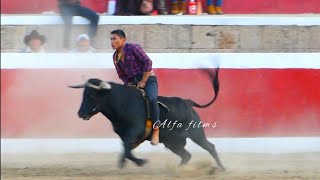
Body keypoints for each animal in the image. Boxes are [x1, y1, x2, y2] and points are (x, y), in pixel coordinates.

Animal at [70, 69, 225, 170]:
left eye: (92, 95)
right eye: (83, 94)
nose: (80, 113)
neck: (121, 102)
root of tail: (188, 102)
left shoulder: (135, 132)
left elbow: (127, 150)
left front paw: (141, 162)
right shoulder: (125, 135)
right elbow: (125, 150)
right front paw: (123, 164)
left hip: (196, 133)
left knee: (210, 147)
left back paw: (222, 168)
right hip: (172, 142)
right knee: (186, 155)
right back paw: (178, 170)